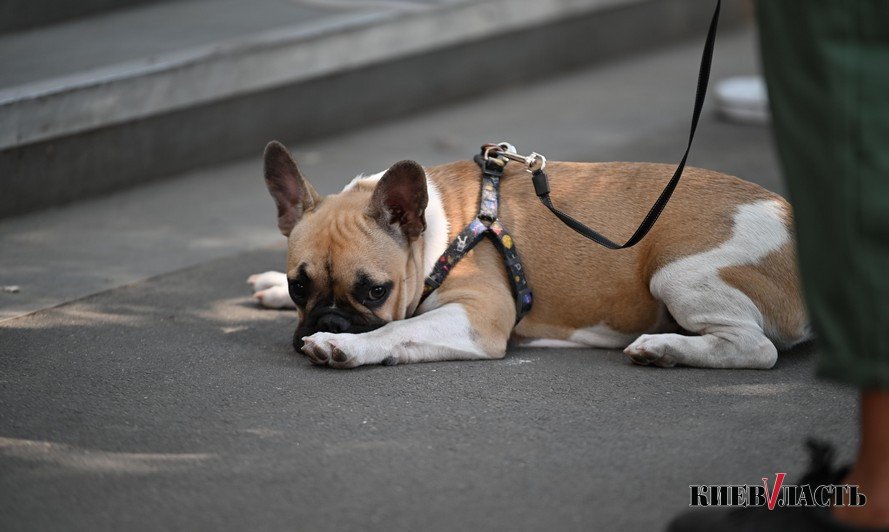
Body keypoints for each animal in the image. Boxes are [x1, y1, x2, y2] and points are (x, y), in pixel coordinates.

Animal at [246, 140, 808, 370]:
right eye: (299, 286)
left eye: (374, 291)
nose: (331, 320)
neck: (435, 235)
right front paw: (271, 287)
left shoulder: (479, 315)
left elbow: (396, 329)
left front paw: (343, 345)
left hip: (678, 273)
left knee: (757, 349)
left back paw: (665, 347)